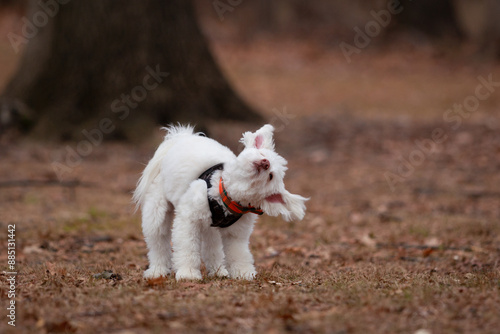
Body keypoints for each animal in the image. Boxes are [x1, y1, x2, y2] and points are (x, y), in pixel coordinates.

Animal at [133, 124, 306, 280]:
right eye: (262, 153)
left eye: (270, 176)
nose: (265, 163)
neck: (228, 196)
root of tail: (180, 137)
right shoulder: (188, 220)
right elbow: (188, 247)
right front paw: (188, 273)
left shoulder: (236, 233)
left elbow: (238, 253)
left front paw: (243, 273)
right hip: (157, 212)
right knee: (158, 241)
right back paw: (157, 271)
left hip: (210, 227)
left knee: (212, 247)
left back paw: (218, 271)